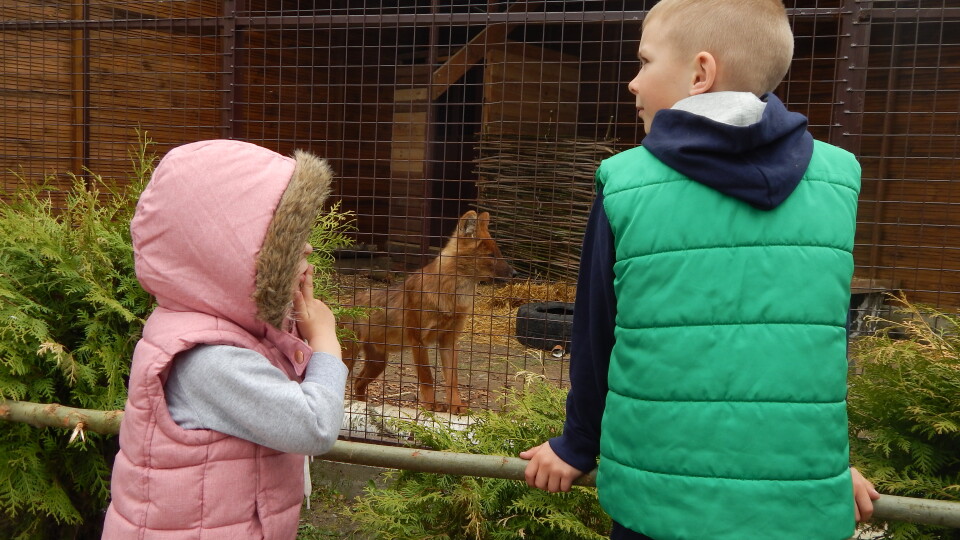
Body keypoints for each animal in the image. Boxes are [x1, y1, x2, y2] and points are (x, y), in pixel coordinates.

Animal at [340, 211, 512, 414]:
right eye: (491, 255)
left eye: (499, 254)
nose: (515, 273)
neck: (451, 295)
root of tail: (344, 305)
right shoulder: (419, 340)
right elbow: (427, 377)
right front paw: (431, 405)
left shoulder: (449, 341)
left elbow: (452, 379)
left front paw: (456, 406)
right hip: (349, 356)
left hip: (379, 361)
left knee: (358, 382)